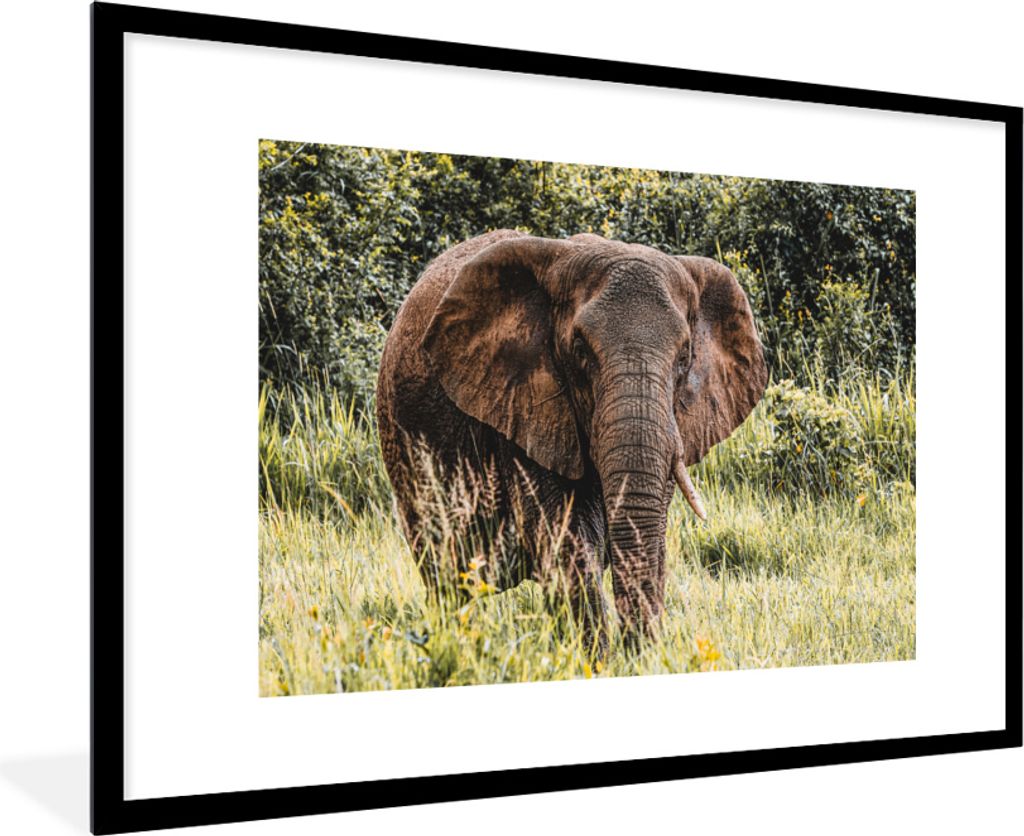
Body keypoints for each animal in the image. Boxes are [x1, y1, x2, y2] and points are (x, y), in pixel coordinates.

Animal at [376, 230, 767, 654]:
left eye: (684, 356)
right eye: (580, 350)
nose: (636, 654)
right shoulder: (524, 403)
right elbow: (566, 539)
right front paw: (600, 659)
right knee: (447, 576)